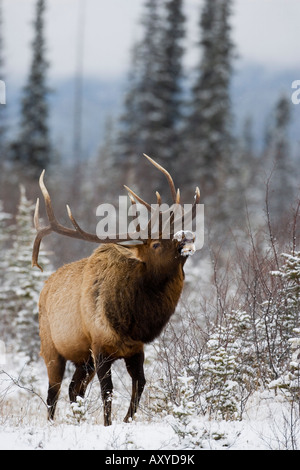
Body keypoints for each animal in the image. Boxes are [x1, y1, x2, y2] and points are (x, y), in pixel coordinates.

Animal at [32, 155, 199, 426]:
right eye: (155, 244)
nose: (187, 238)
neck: (132, 321)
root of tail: (44, 287)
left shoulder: (135, 349)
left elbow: (140, 384)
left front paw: (126, 419)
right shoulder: (100, 347)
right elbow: (107, 392)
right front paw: (109, 424)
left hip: (83, 359)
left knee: (73, 389)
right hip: (51, 348)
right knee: (53, 392)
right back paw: (52, 423)